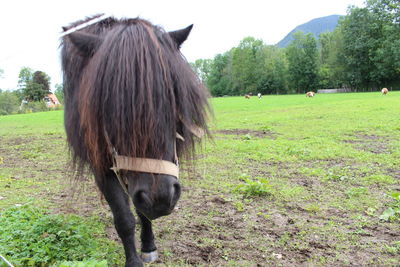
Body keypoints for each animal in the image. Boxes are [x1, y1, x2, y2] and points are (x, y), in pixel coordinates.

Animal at [60, 15, 209, 267]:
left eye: (174, 94)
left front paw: (148, 246)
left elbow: (142, 213)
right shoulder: (102, 166)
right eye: (107, 102)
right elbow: (124, 218)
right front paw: (133, 260)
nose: (160, 199)